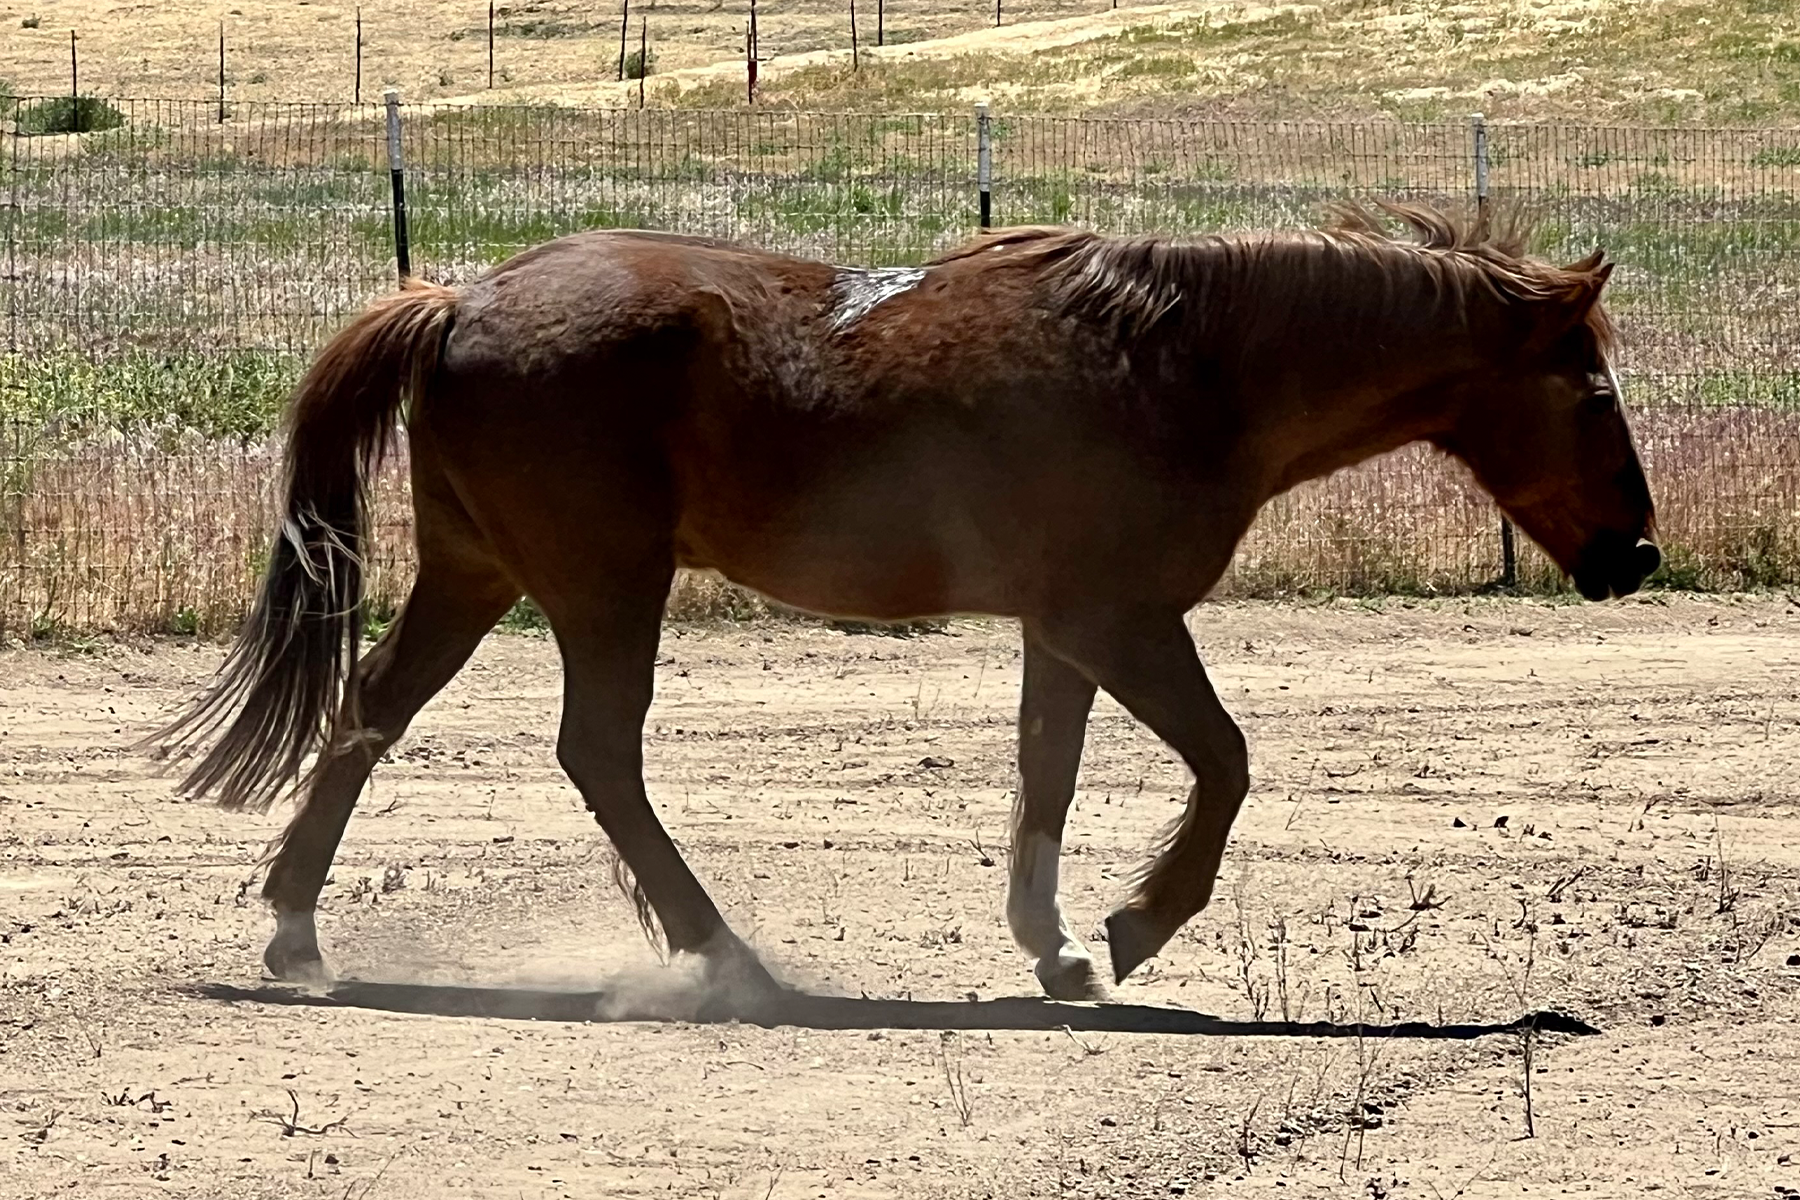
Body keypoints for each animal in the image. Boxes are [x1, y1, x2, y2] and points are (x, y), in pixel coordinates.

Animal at [153, 201, 1658, 1006]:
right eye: (1591, 391)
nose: (1638, 556)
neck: (1185, 366)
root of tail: (461, 298)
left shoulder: (1063, 632)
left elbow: (1045, 779)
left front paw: (1058, 947)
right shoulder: (1122, 621)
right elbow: (1225, 764)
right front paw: (1135, 926)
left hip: (479, 577)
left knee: (370, 715)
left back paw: (296, 936)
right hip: (601, 589)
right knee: (598, 759)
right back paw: (730, 960)